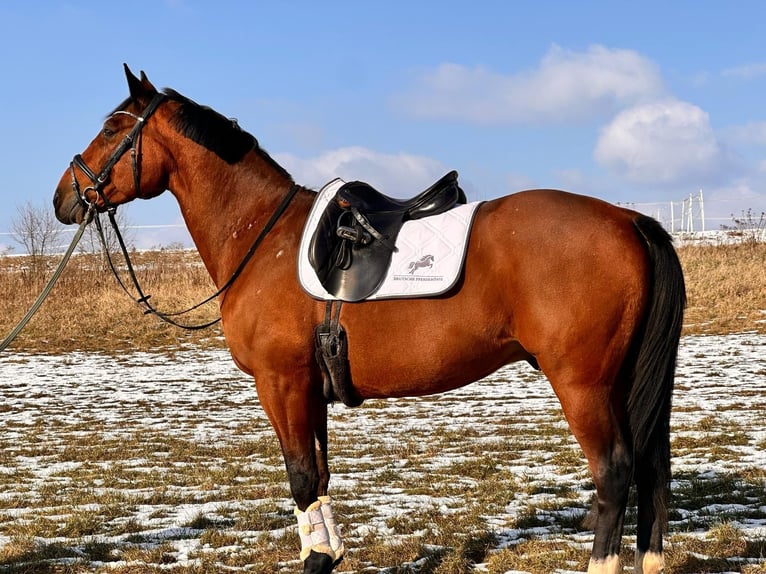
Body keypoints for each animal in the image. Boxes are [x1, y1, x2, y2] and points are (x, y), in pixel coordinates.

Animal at [55, 67, 688, 574]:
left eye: (111, 129)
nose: (66, 197)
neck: (263, 237)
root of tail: (630, 220)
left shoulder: (280, 383)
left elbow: (301, 476)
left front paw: (315, 560)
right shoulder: (309, 389)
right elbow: (319, 475)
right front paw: (327, 555)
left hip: (583, 382)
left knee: (614, 473)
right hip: (625, 380)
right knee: (652, 465)